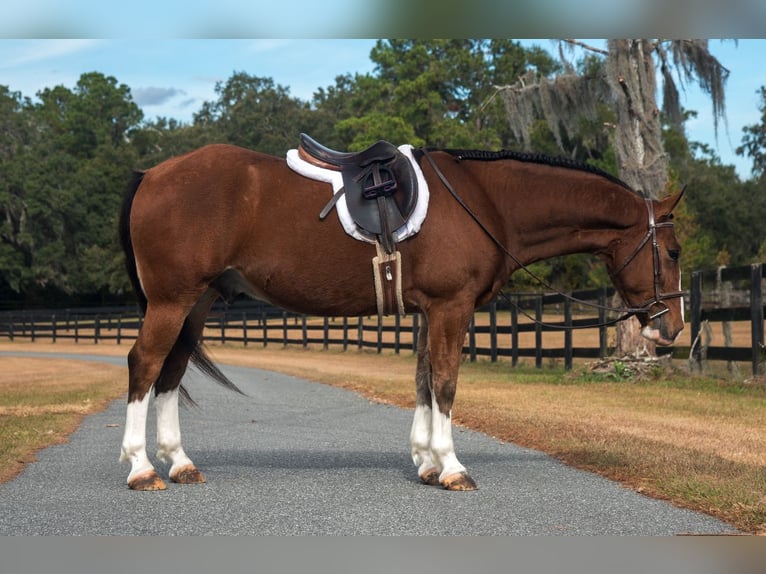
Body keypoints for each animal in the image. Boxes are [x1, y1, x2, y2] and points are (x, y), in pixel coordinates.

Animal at [121, 142, 688, 492]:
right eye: (675, 251)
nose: (671, 328)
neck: (487, 203)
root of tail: (152, 174)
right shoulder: (450, 307)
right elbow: (446, 382)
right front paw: (452, 467)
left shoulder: (428, 311)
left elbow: (423, 381)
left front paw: (427, 462)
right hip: (174, 300)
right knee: (145, 364)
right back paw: (142, 468)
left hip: (196, 302)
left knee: (171, 370)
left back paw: (180, 462)